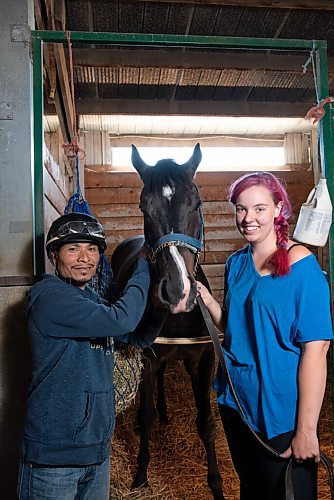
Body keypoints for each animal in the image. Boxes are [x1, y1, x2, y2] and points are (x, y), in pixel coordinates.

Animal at [111, 145, 223, 500]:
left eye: (196, 203)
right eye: (143, 207)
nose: (178, 291)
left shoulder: (202, 360)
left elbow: (206, 422)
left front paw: (216, 484)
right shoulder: (147, 359)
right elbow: (145, 418)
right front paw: (140, 475)